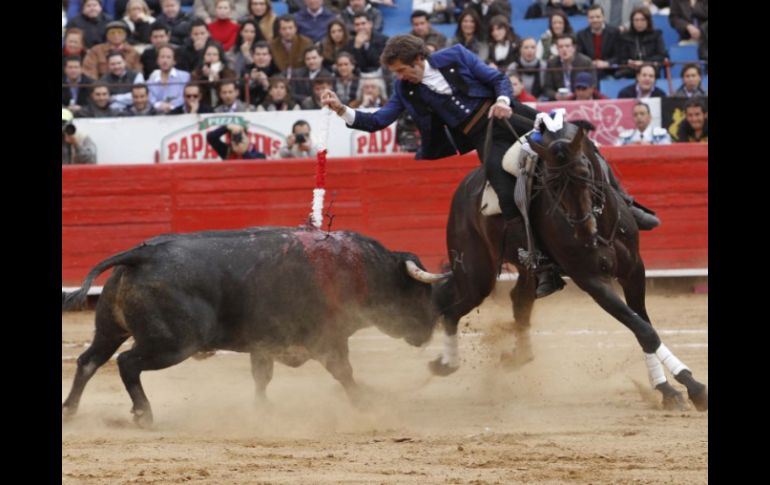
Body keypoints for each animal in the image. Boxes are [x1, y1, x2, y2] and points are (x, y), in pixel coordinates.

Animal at [64, 225, 450, 426]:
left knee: (89, 361)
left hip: (110, 330)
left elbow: (261, 377)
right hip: (173, 344)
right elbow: (344, 372)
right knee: (127, 363)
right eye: (420, 292)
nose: (430, 329)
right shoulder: (327, 338)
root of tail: (143, 253)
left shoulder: (263, 342)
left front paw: (263, 409)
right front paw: (365, 403)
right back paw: (144, 414)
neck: (359, 269)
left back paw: (70, 411)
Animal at [428, 119, 704, 410]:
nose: (583, 231)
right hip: (476, 273)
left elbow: (644, 325)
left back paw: (515, 357)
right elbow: (644, 330)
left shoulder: (634, 270)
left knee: (518, 299)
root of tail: (462, 191)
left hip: (521, 272)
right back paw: (445, 363)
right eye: (550, 182)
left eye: (585, 171)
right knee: (452, 308)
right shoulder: (591, 280)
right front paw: (691, 387)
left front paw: (670, 387)